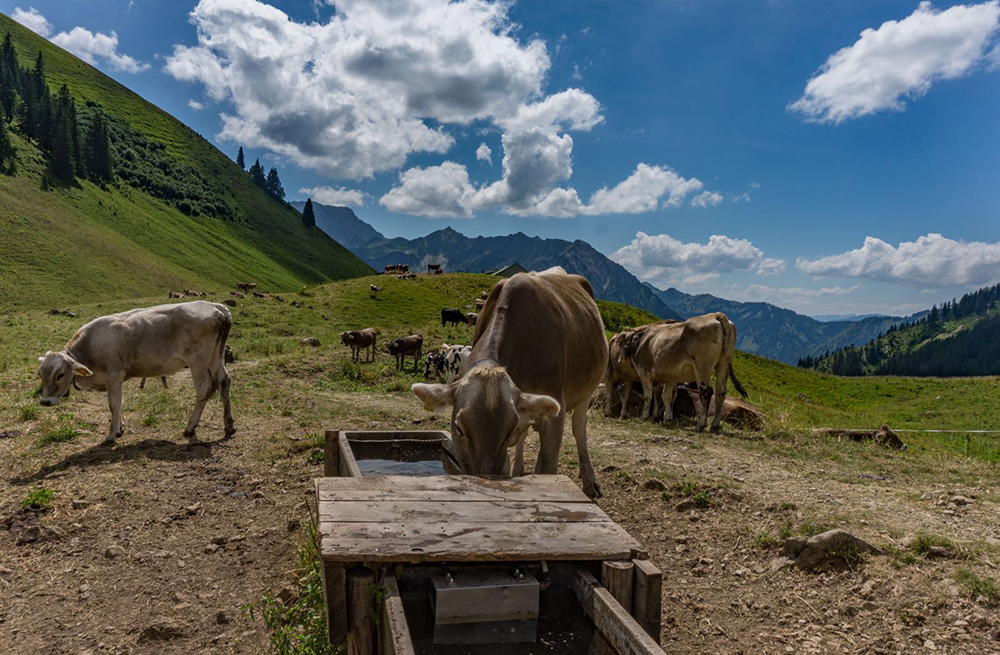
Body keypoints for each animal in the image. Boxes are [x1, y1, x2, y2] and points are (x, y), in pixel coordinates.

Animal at [36, 302, 236, 446]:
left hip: (198, 361)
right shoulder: (114, 380)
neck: (90, 346)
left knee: (204, 389)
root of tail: (216, 307)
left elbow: (114, 405)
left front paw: (111, 435)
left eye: (60, 374)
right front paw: (119, 428)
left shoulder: (113, 375)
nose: (45, 402)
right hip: (216, 357)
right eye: (40, 374)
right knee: (224, 381)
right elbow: (119, 403)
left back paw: (190, 427)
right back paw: (229, 426)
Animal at [410, 266, 604, 498]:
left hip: (587, 390)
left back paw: (590, 481)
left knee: (579, 429)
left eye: (509, 430)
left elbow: (547, 466)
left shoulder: (555, 411)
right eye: (458, 428)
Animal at [620, 312, 748, 430]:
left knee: (706, 392)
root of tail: (715, 315)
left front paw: (645, 416)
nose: (620, 359)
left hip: (702, 367)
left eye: (620, 343)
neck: (640, 342)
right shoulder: (669, 376)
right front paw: (666, 418)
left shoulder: (644, 372)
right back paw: (715, 425)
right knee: (720, 393)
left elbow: (648, 395)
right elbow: (666, 396)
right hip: (723, 363)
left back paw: (700, 424)